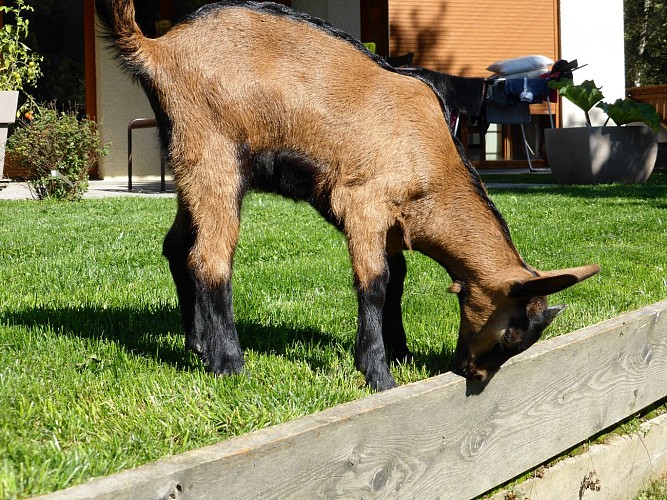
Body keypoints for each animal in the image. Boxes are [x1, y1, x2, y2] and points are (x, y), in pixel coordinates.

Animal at [98, 0, 600, 390]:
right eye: (512, 332)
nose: (472, 375)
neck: (431, 159)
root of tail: (156, 48)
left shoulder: (393, 225)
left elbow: (397, 280)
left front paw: (400, 351)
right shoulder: (363, 203)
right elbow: (375, 283)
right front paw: (378, 373)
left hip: (187, 166)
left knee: (177, 247)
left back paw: (197, 345)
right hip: (214, 156)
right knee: (209, 258)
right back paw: (229, 364)